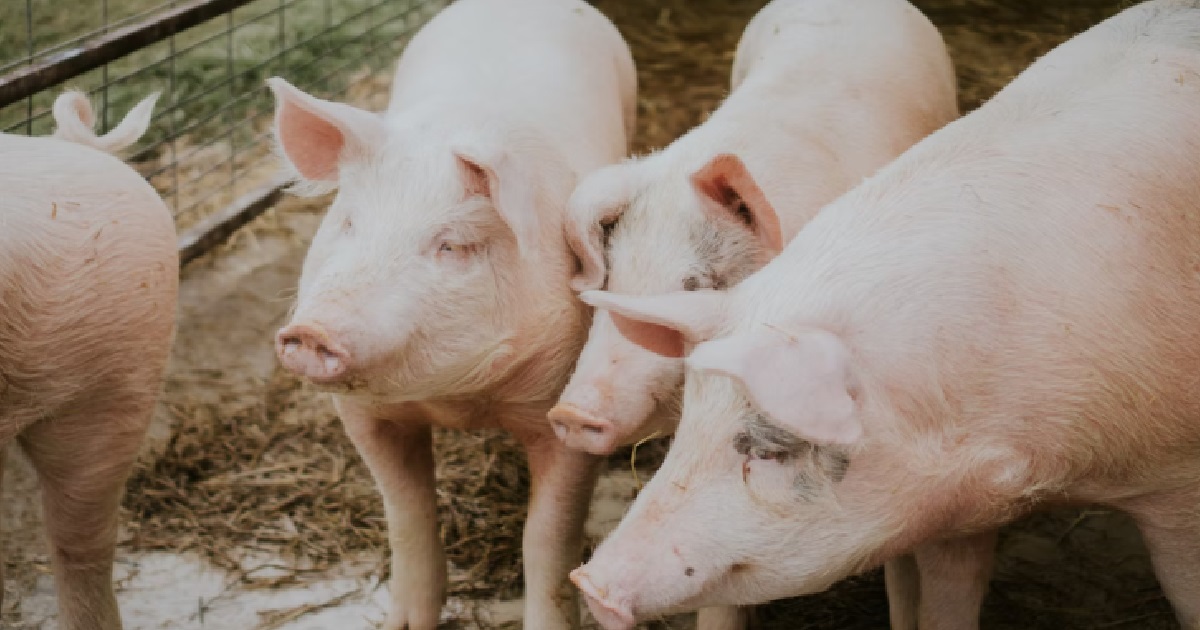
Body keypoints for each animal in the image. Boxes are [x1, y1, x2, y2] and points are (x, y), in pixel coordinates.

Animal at [267, 0, 636, 628]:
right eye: (348, 223)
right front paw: (404, 622)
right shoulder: (363, 415)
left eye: (452, 245)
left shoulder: (566, 408)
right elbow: (405, 515)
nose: (312, 331)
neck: (459, 400)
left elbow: (548, 538)